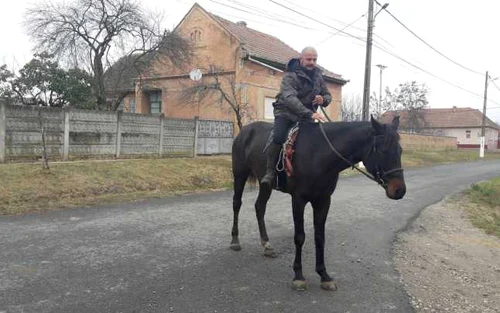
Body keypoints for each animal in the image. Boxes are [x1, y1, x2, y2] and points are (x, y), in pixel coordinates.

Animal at [230, 116, 406, 290]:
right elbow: (299, 237)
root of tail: (244, 131)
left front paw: (324, 275)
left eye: (400, 151)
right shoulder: (298, 200)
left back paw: (266, 245)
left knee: (259, 207)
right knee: (237, 204)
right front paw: (298, 276)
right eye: (383, 150)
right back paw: (235, 241)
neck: (319, 154)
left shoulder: (323, 200)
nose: (399, 190)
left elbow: (320, 237)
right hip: (240, 175)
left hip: (265, 184)